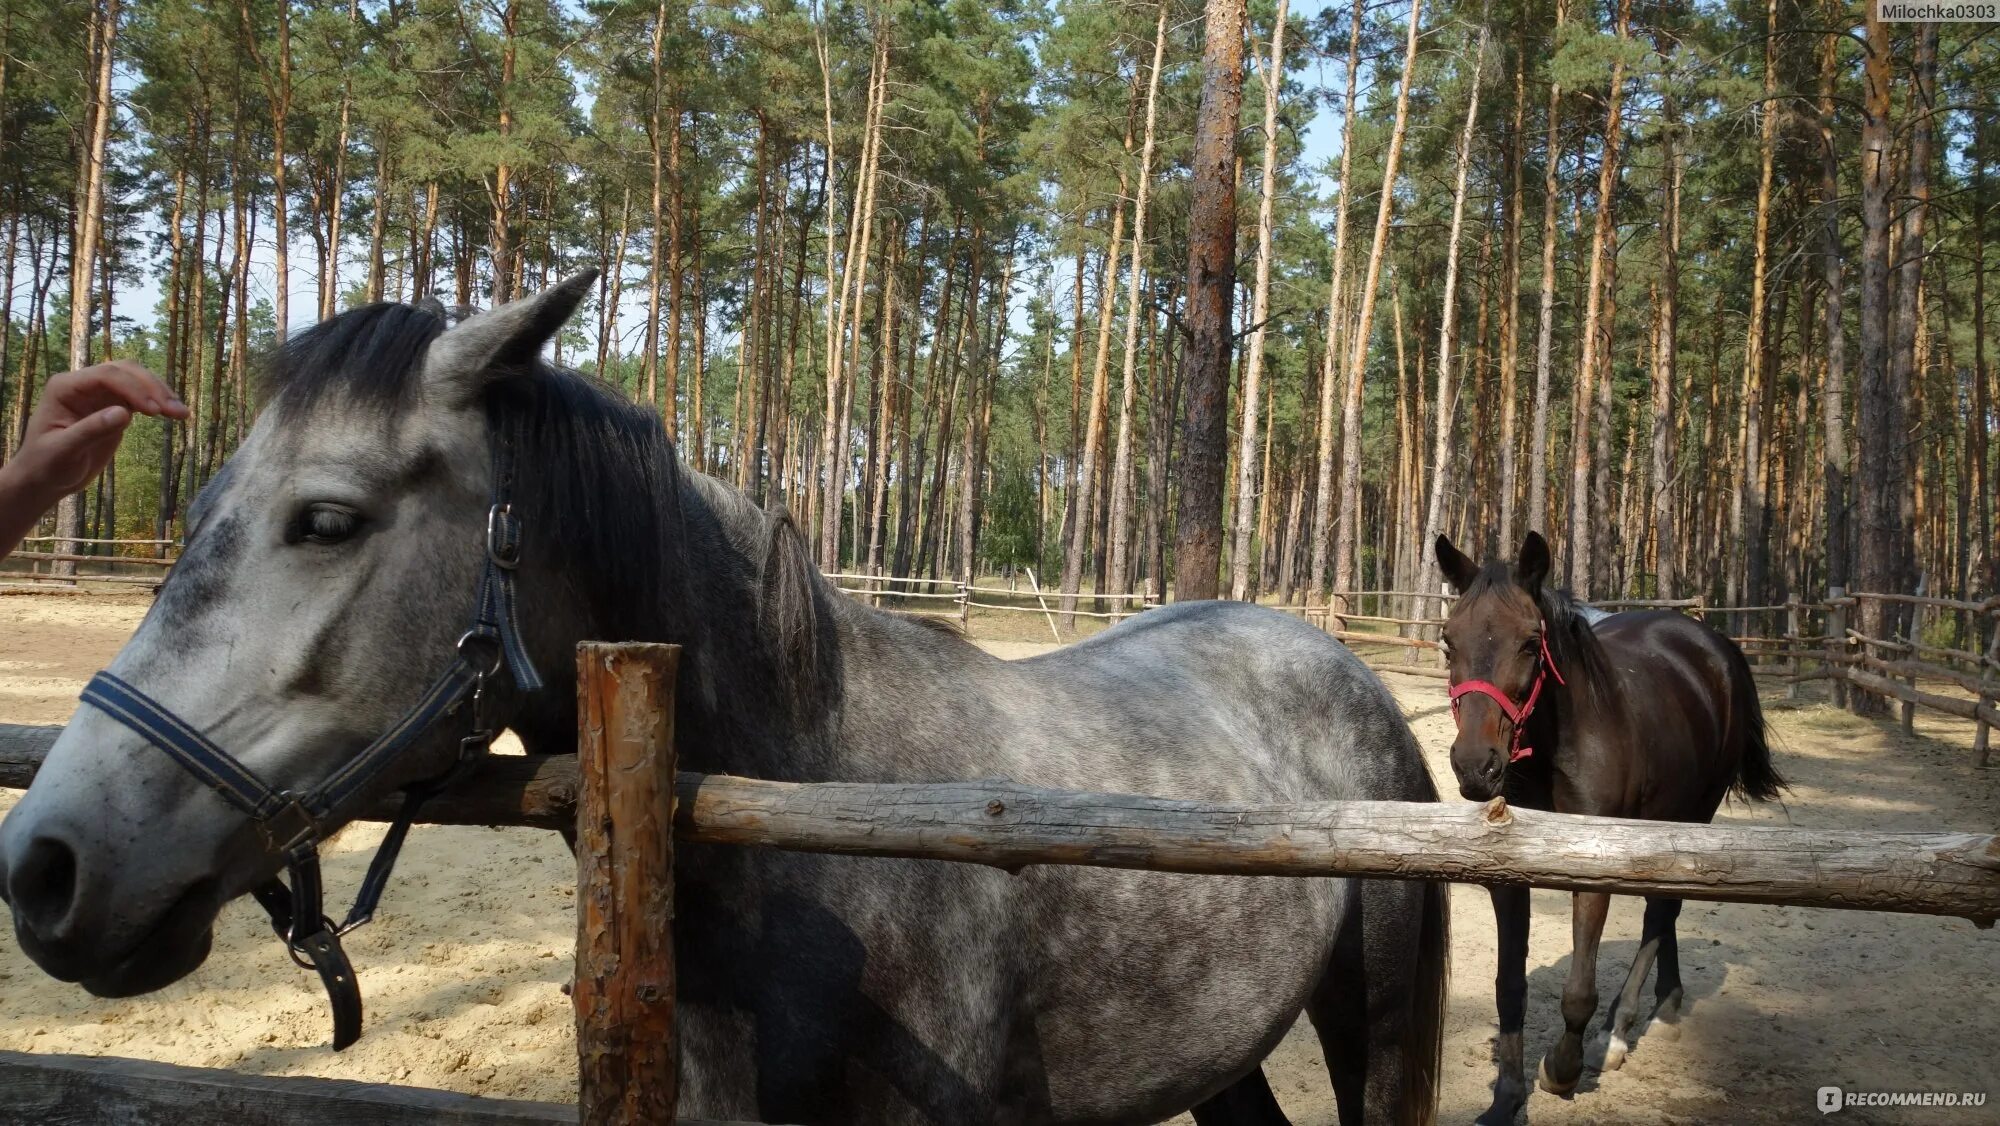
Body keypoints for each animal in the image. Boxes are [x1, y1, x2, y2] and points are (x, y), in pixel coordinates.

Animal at [1432, 532, 1792, 1120]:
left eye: (1531, 642)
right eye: (1448, 641)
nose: (1475, 765)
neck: (1559, 748)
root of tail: (1712, 643)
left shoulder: (1591, 871)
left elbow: (1579, 990)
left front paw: (1562, 1069)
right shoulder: (1508, 872)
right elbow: (1509, 987)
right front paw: (1506, 1098)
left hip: (1694, 815)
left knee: (1662, 911)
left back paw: (1619, 1031)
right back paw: (1665, 1000)